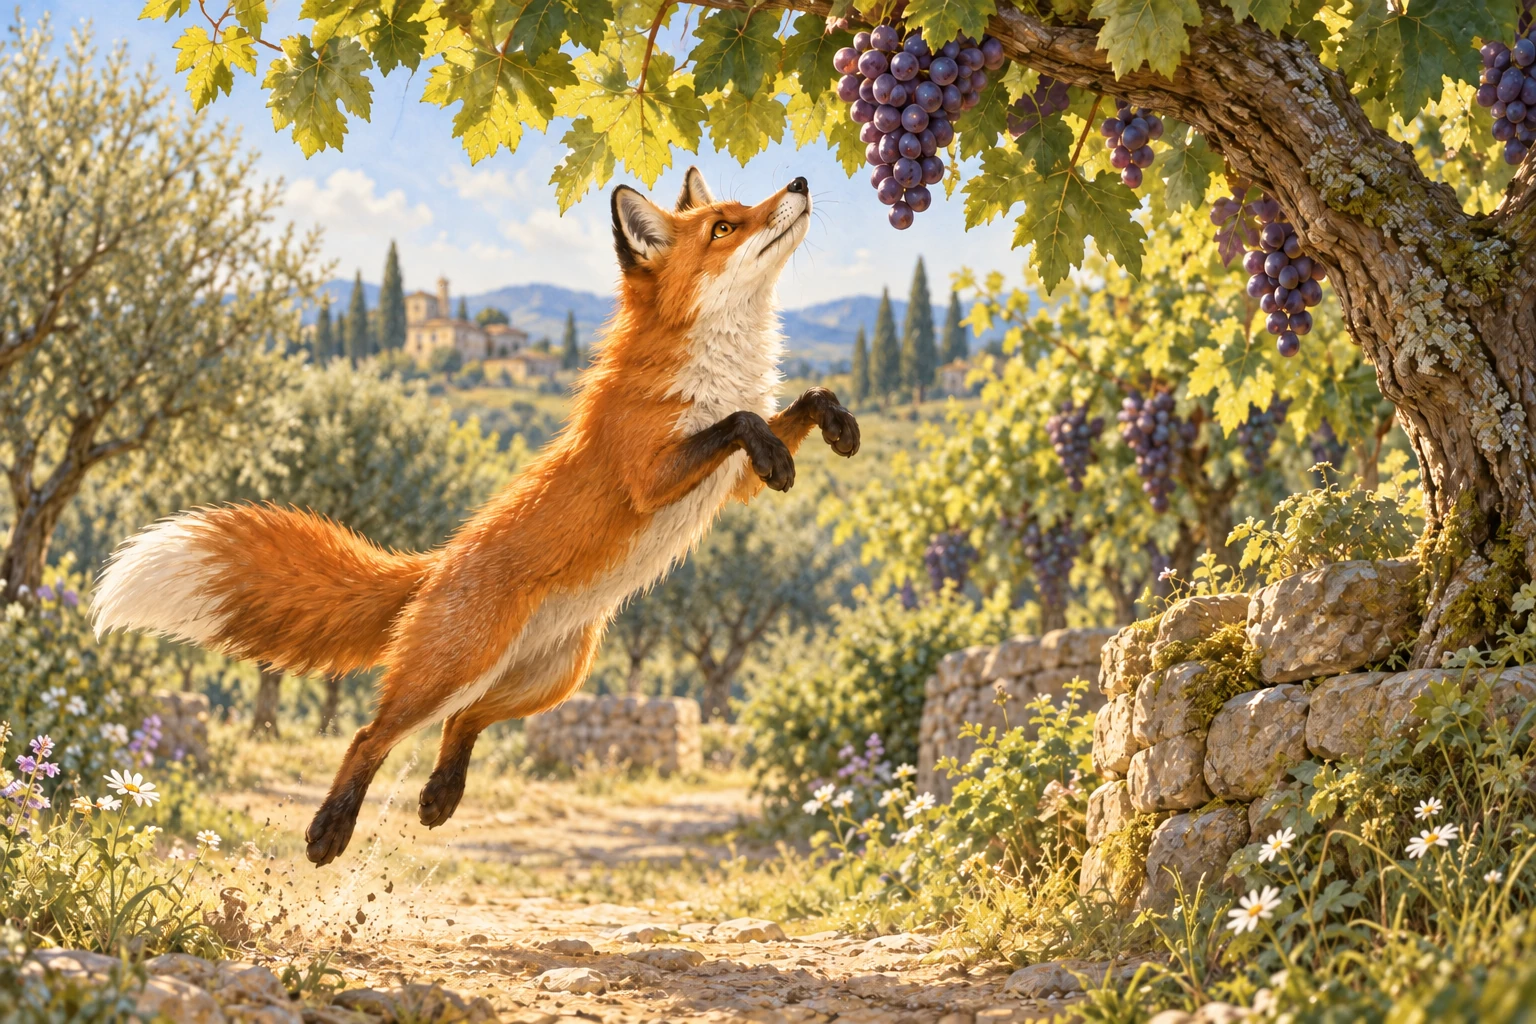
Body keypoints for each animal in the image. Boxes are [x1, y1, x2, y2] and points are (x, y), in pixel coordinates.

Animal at [90, 168, 859, 866]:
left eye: (744, 206)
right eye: (724, 226)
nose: (800, 181)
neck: (713, 369)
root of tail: (434, 565)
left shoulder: (731, 487)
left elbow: (796, 406)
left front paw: (839, 424)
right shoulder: (649, 473)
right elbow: (741, 422)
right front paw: (775, 439)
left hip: (548, 681)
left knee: (465, 720)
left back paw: (440, 795)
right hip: (453, 668)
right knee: (371, 734)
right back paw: (331, 829)